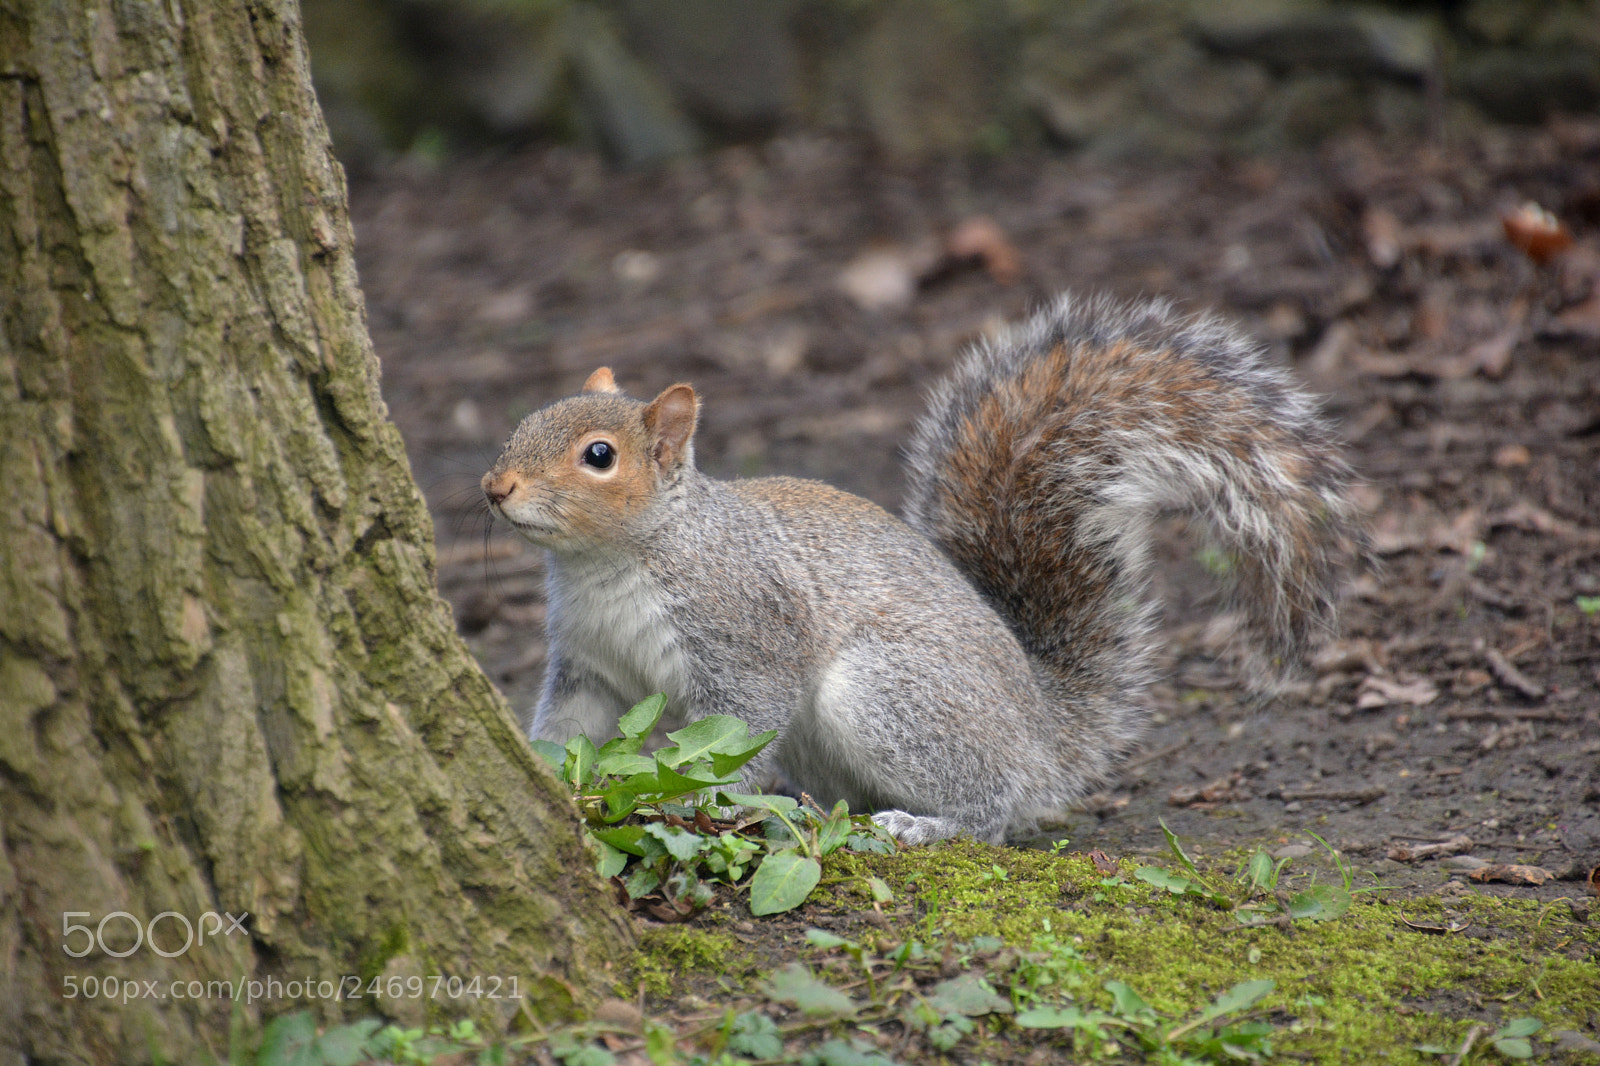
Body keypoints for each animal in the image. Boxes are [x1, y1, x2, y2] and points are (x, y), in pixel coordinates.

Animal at [482, 294, 1363, 845]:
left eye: (599, 456)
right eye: (523, 421)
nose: (495, 487)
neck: (612, 560)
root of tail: (1043, 736)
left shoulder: (745, 627)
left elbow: (741, 727)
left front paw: (703, 799)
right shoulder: (587, 662)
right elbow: (569, 726)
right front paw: (551, 775)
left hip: (888, 697)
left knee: (995, 811)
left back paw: (926, 824)